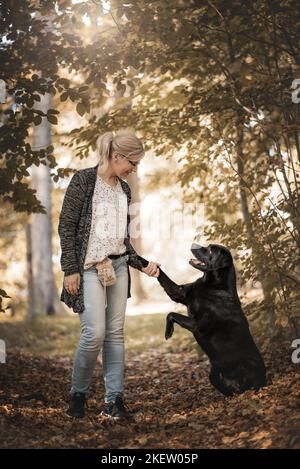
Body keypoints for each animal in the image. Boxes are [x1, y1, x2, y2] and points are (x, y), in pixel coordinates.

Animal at [139, 243, 266, 396]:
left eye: (210, 249)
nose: (193, 244)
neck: (211, 285)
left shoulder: (198, 325)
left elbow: (172, 314)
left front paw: (168, 331)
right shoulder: (179, 293)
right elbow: (161, 273)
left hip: (249, 365)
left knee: (254, 385)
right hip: (213, 375)